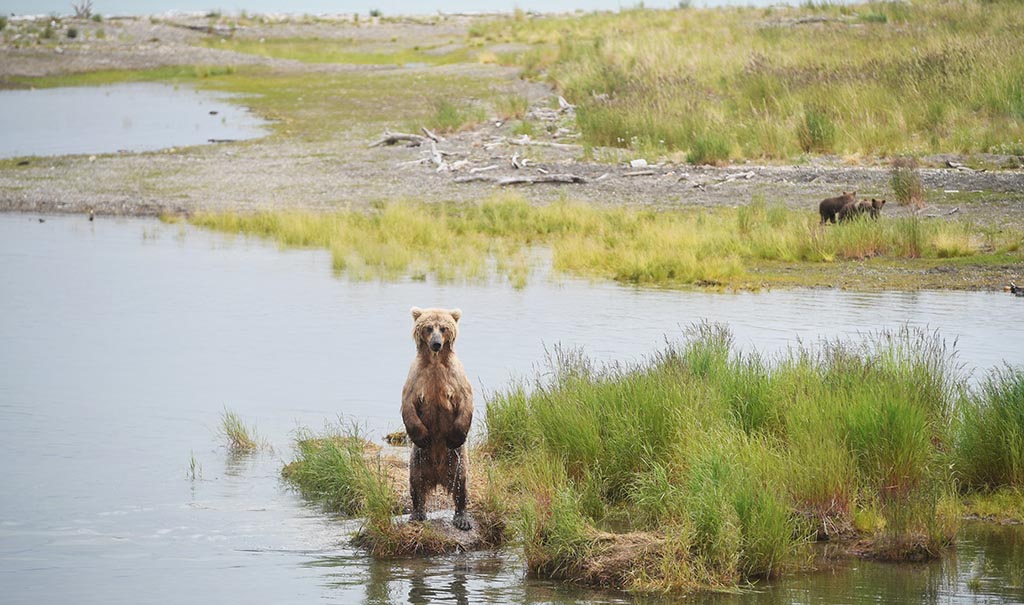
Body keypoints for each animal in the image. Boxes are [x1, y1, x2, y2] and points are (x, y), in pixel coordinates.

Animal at [401, 307, 474, 530]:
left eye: (443, 328)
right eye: (428, 327)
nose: (436, 343)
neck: (435, 361)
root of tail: (439, 477)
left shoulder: (455, 377)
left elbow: (466, 402)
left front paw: (454, 436)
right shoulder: (416, 378)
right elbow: (408, 406)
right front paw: (423, 436)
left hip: (457, 460)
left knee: (461, 485)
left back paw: (462, 518)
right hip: (418, 459)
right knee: (416, 483)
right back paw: (417, 513)